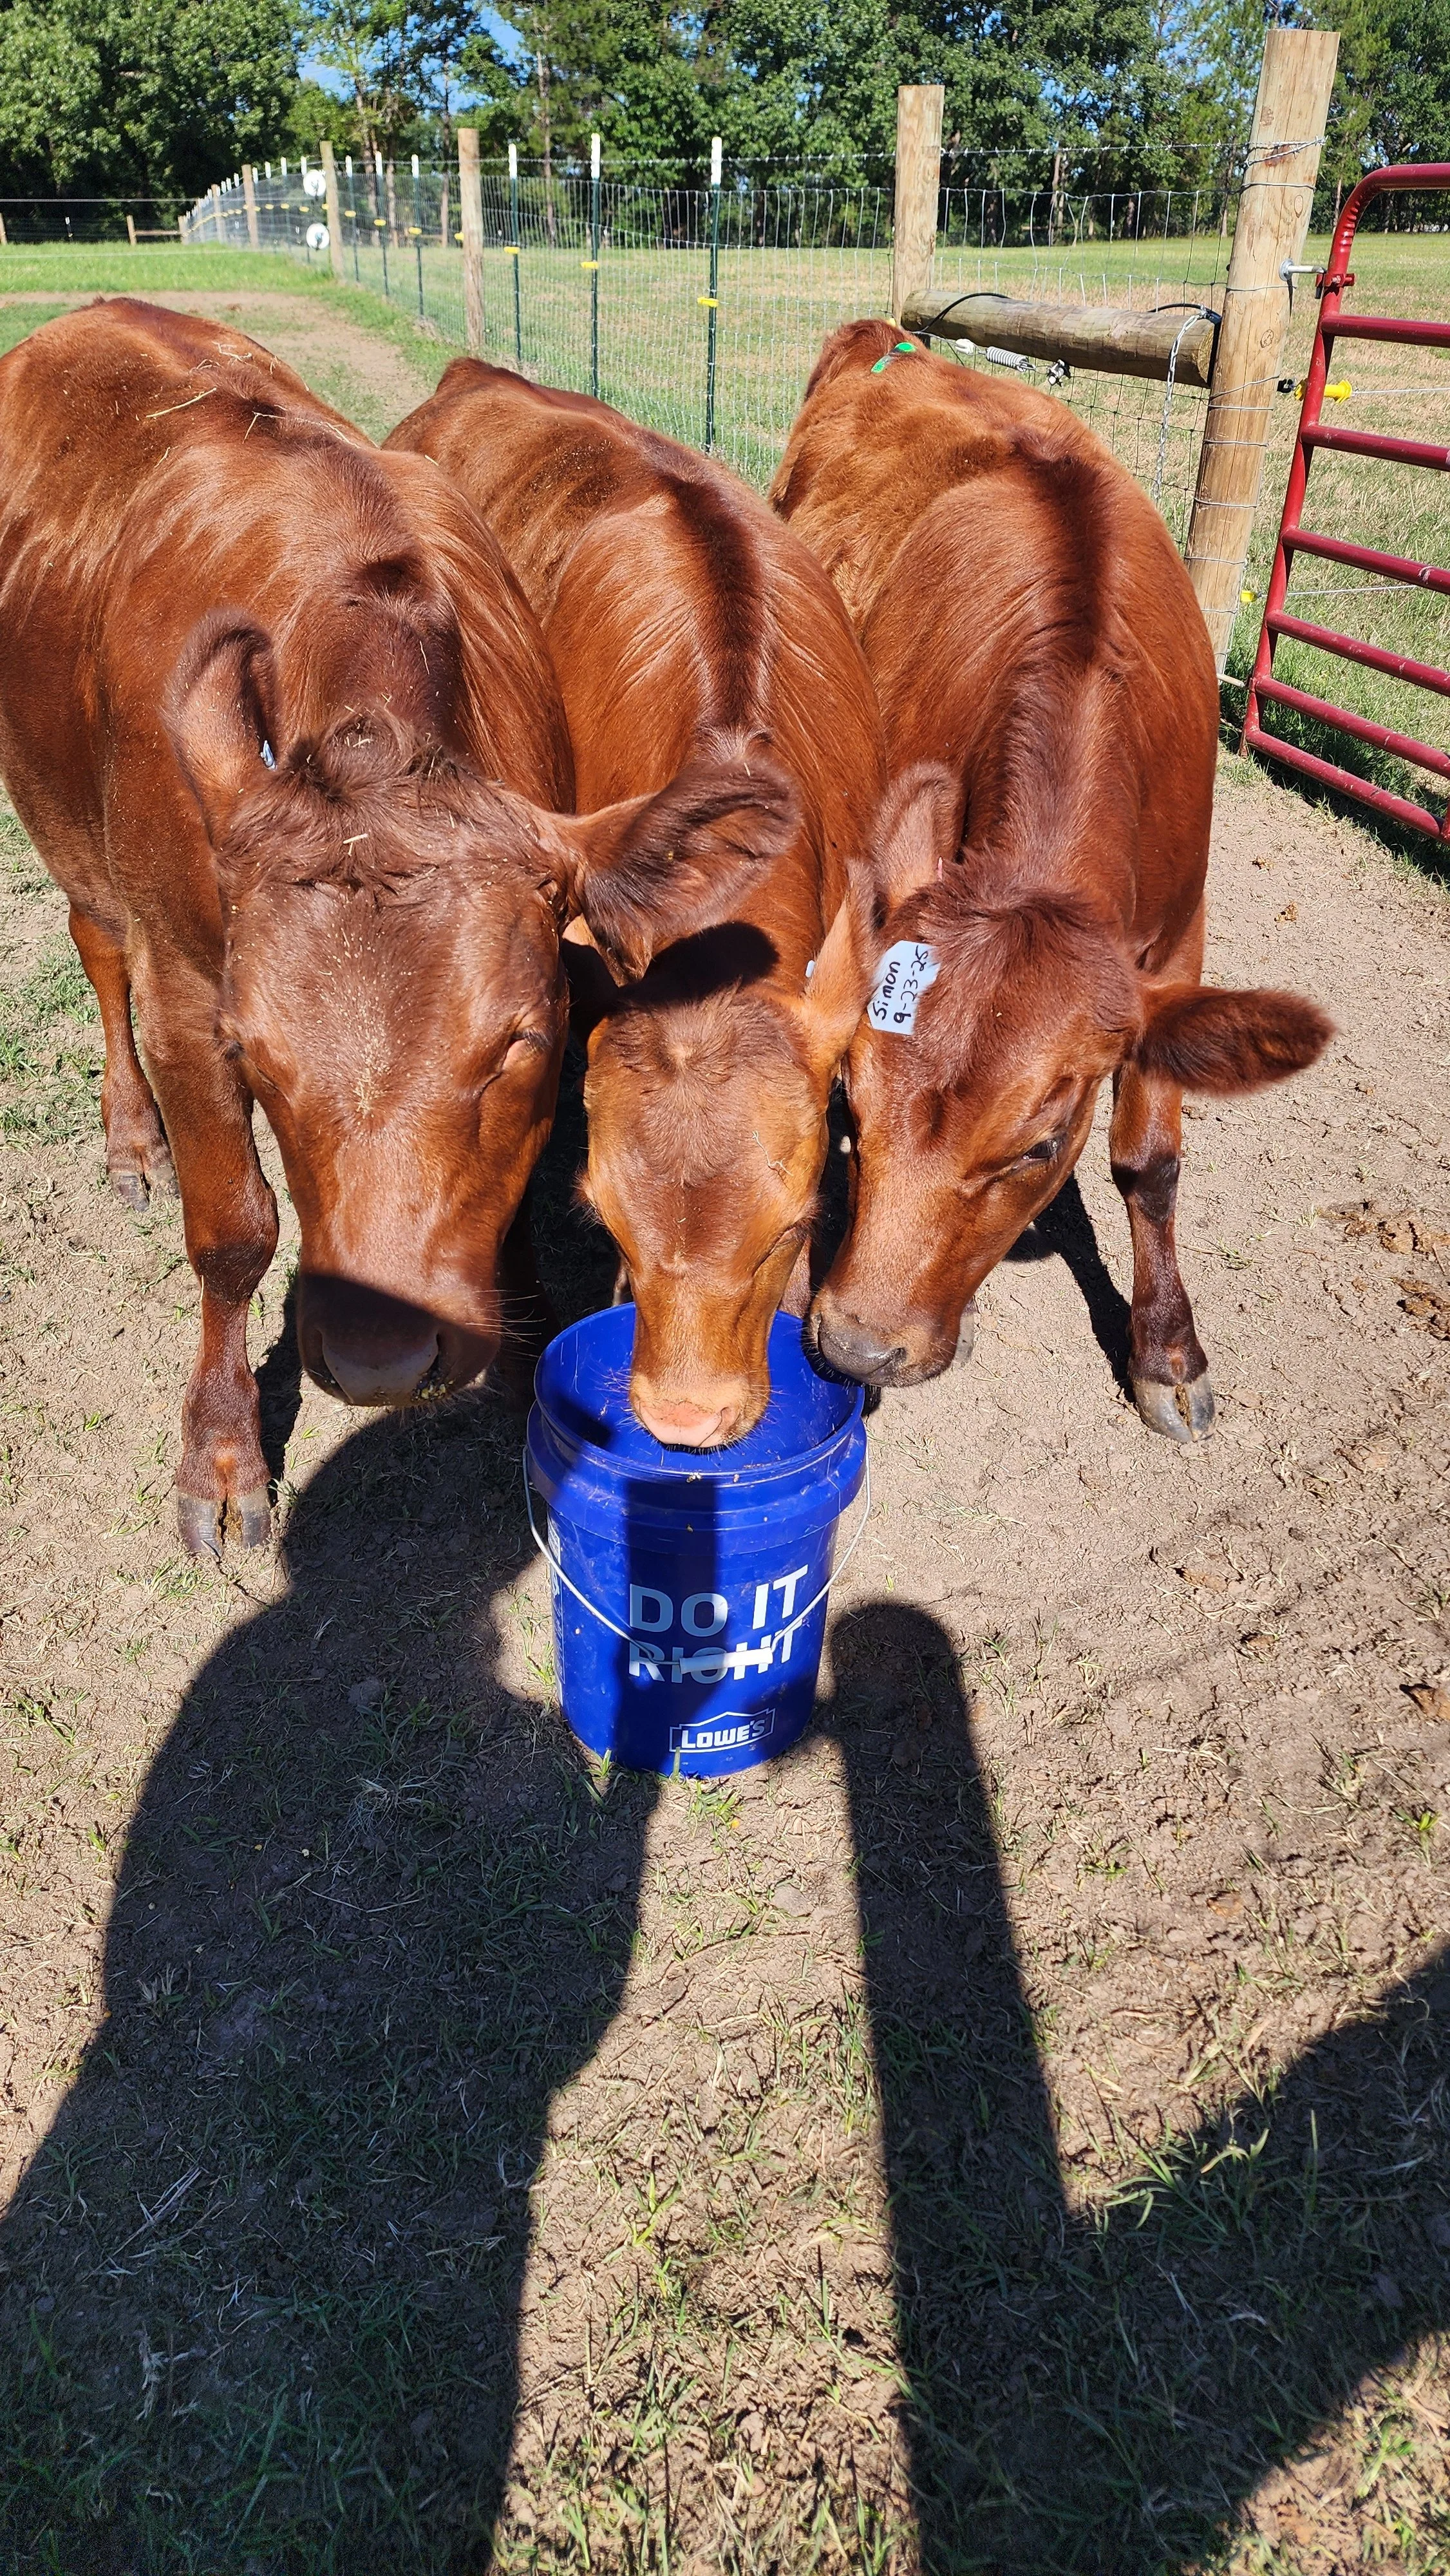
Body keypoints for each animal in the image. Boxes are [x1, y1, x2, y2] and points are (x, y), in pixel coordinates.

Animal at [0, 300, 790, 1550]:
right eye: (253, 1056)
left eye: (522, 1045)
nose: (381, 1359)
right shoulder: (187, 991)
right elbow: (233, 1231)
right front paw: (220, 1453)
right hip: (58, 817)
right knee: (97, 948)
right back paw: (131, 1141)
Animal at [770, 319, 1332, 1440]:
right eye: (852, 1102)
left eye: (1040, 1146)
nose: (856, 1347)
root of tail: (892, 337)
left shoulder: (1177, 939)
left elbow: (1148, 1160)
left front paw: (1167, 1351)